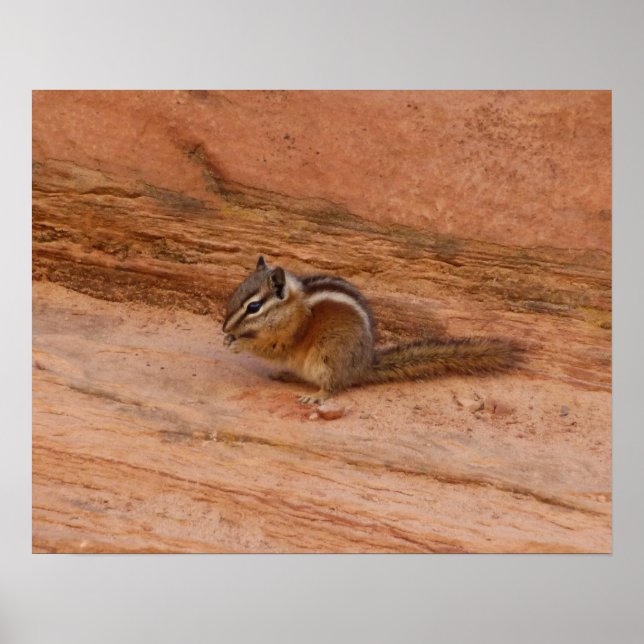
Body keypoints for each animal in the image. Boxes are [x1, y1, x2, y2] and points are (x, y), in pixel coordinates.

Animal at [223, 256, 520, 404]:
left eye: (254, 307)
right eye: (236, 294)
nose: (224, 326)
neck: (291, 307)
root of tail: (362, 366)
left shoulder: (292, 334)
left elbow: (272, 348)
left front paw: (239, 343)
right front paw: (229, 338)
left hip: (327, 356)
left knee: (334, 386)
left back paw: (316, 396)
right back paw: (285, 375)